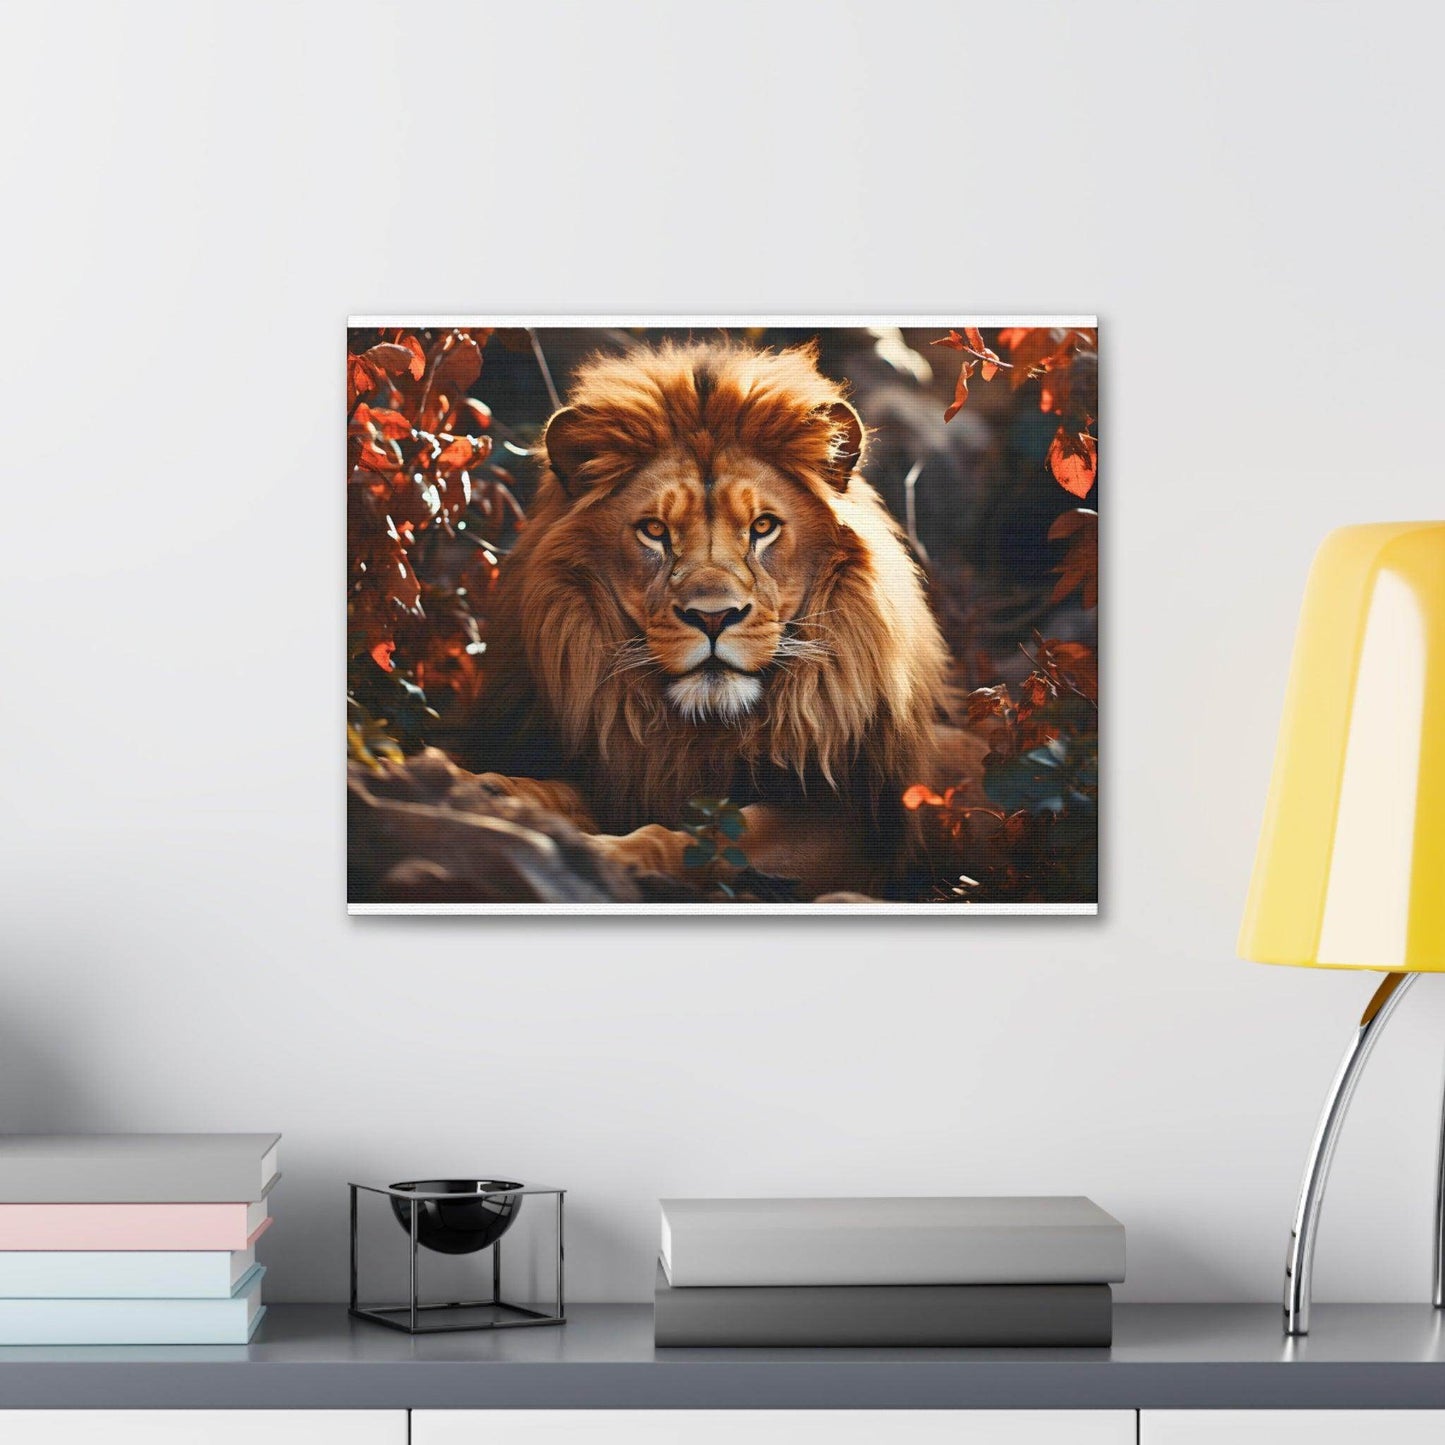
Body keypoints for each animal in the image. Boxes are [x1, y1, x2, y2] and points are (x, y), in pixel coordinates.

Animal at [466, 339, 980, 899]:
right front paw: (490, 791)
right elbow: (561, 793)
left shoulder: (855, 827)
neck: (704, 728)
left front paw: (614, 856)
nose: (713, 618)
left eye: (763, 527)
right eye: (654, 531)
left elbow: (714, 834)